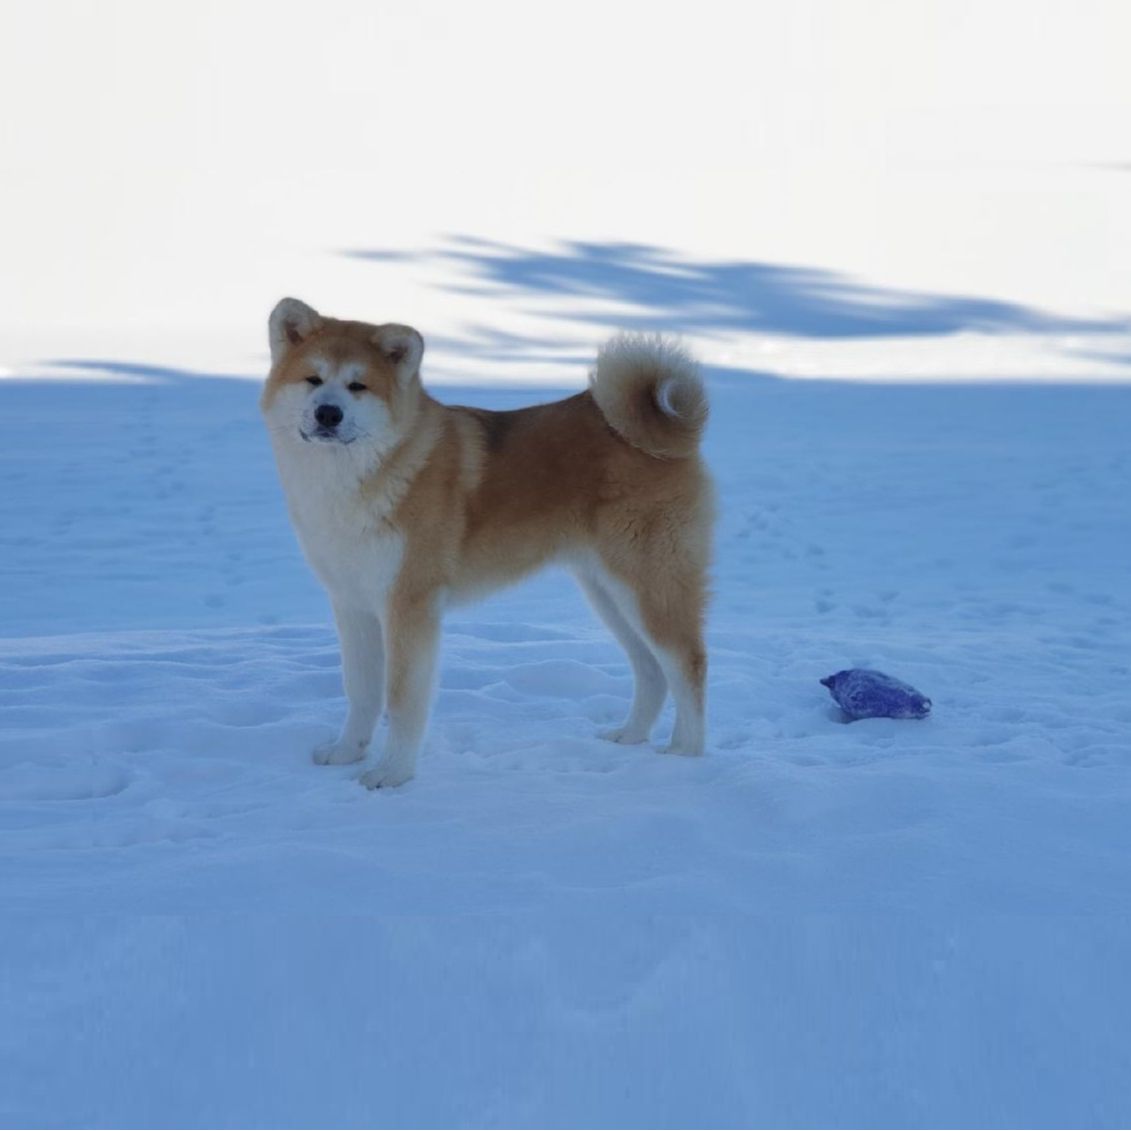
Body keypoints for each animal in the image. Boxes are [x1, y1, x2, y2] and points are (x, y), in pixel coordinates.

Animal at [260, 305, 710, 791]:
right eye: (312, 379)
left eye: (358, 386)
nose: (328, 413)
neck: (358, 476)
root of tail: (665, 438)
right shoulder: (353, 603)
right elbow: (360, 692)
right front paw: (347, 752)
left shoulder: (409, 605)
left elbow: (401, 699)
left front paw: (392, 773)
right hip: (607, 592)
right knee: (651, 669)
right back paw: (630, 737)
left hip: (647, 586)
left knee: (687, 663)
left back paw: (685, 755)